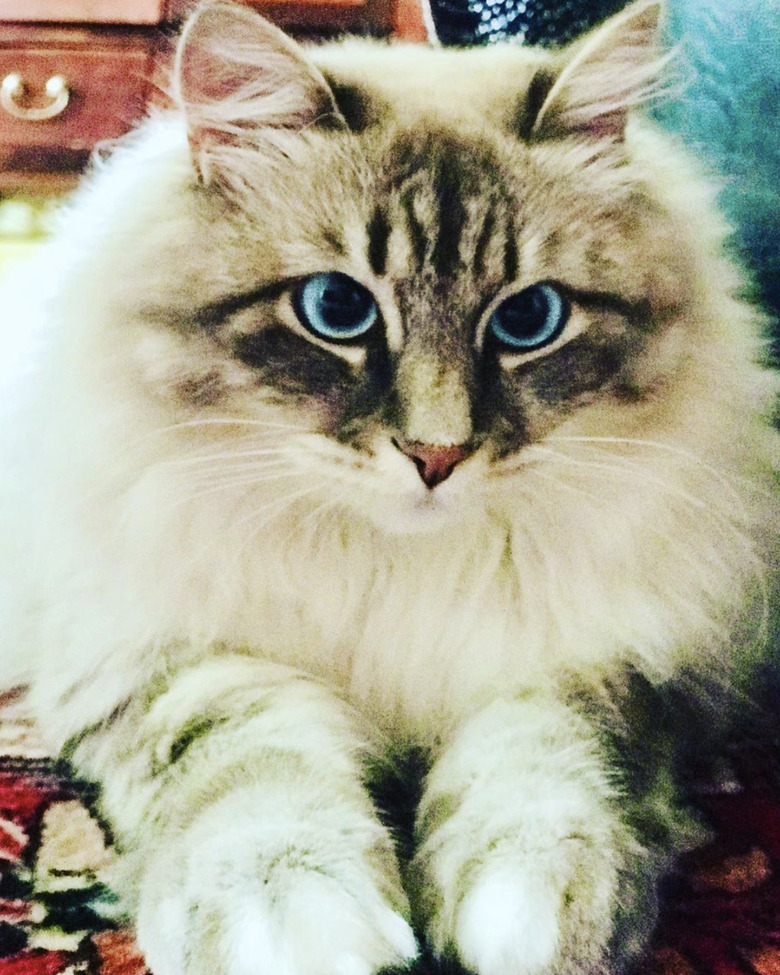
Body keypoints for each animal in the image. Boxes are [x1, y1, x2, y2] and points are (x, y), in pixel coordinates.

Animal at [1, 1, 780, 975]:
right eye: (337, 309)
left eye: (530, 319)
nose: (436, 455)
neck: (394, 567)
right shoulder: (168, 654)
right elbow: (250, 771)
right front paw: (297, 915)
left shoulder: (598, 658)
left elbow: (545, 767)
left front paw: (528, 917)